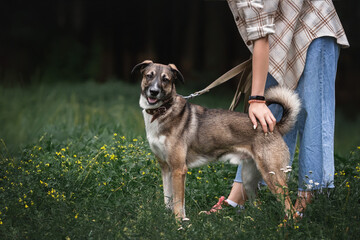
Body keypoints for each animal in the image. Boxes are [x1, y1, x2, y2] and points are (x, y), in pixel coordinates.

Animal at [132, 60, 300, 221]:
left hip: (273, 176)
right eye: (149, 76)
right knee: (257, 205)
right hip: (249, 179)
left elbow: (178, 203)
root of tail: (276, 126)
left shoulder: (178, 169)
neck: (163, 111)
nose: (154, 92)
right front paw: (169, 219)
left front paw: (179, 223)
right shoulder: (166, 168)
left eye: (165, 79)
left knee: (289, 208)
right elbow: (168, 199)